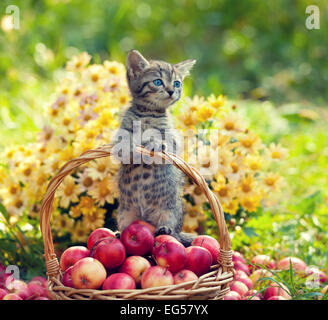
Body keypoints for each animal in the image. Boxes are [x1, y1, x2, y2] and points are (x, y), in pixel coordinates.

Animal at [114, 50, 196, 246]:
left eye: (177, 83)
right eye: (158, 82)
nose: (171, 90)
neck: (147, 114)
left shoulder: (172, 137)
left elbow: (166, 141)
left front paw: (155, 142)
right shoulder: (123, 128)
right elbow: (122, 139)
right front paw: (128, 145)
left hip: (171, 210)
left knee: (172, 231)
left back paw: (165, 229)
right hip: (124, 213)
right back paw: (119, 234)